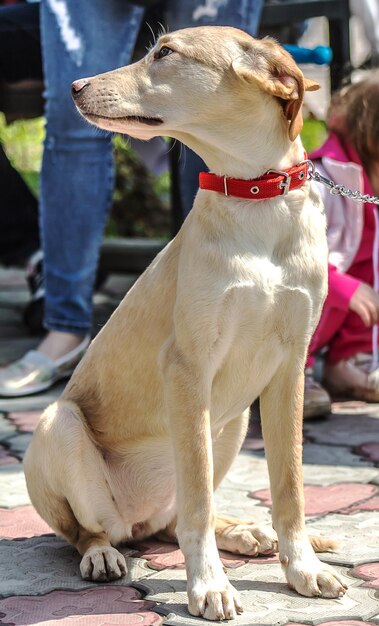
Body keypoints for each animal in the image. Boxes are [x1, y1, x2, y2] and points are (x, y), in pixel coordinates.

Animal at [22, 25, 346, 620]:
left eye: (166, 53)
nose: (74, 86)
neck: (256, 202)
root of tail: (137, 520)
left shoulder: (288, 368)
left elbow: (288, 489)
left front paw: (301, 566)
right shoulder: (188, 370)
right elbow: (195, 501)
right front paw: (209, 585)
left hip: (235, 420)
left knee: (174, 520)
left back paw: (245, 532)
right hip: (61, 425)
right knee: (93, 530)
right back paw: (103, 554)